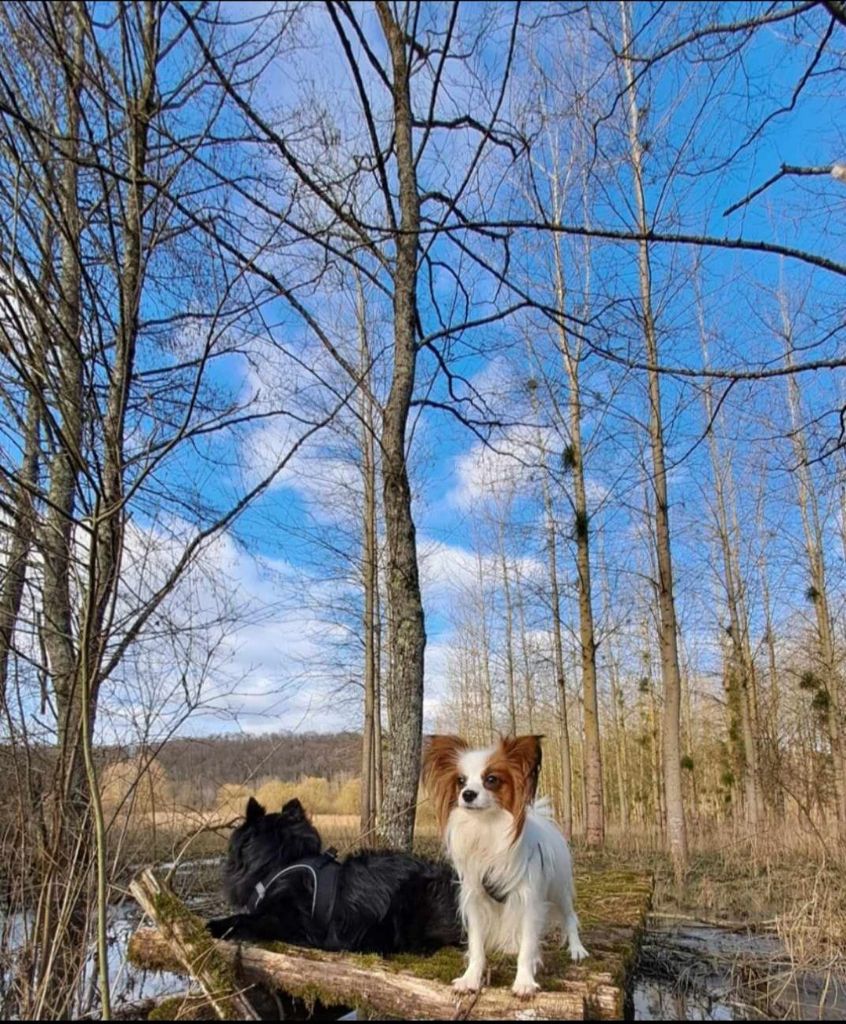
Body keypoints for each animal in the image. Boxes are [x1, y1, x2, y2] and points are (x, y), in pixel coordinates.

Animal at [421, 733, 585, 995]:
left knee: (570, 917)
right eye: (460, 781)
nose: (467, 794)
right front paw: (470, 979)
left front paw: (524, 982)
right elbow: (477, 946)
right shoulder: (476, 899)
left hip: (558, 889)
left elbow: (528, 946)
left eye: (491, 780)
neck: (487, 827)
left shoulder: (530, 901)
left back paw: (577, 949)